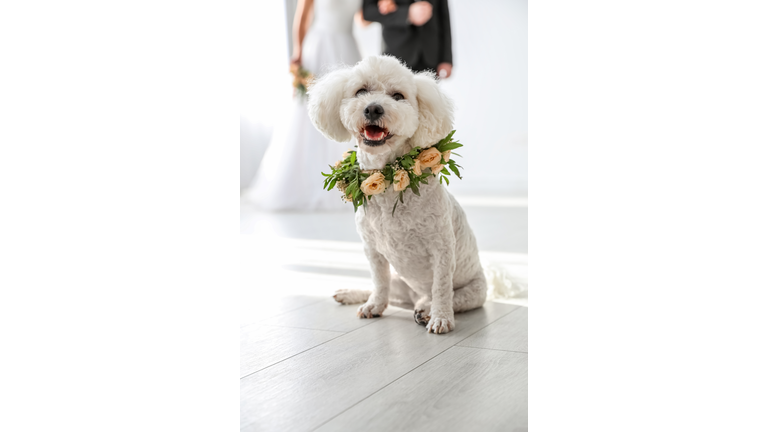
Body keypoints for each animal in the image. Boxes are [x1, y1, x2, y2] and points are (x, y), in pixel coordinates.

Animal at [308, 55, 484, 336]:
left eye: (398, 96)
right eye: (361, 91)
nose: (373, 109)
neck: (389, 187)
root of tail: (414, 296)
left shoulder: (442, 250)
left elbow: (441, 288)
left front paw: (441, 318)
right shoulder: (372, 250)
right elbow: (379, 282)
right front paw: (373, 306)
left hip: (474, 292)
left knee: (446, 297)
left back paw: (426, 309)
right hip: (400, 281)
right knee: (387, 290)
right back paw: (352, 294)